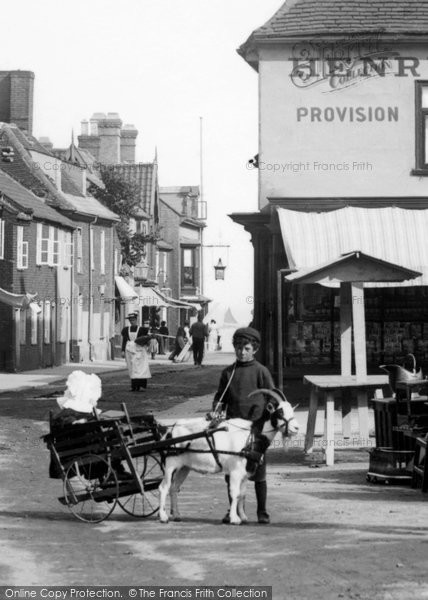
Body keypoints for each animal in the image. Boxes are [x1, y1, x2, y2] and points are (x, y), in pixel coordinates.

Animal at [157, 390, 298, 524]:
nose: (296, 428)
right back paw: (163, 517)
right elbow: (234, 493)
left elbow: (242, 494)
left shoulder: (245, 473)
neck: (251, 435)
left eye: (291, 410)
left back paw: (176, 515)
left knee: (174, 488)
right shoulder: (235, 472)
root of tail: (171, 430)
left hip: (184, 467)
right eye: (280, 412)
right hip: (171, 465)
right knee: (164, 487)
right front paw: (234, 519)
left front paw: (243, 517)